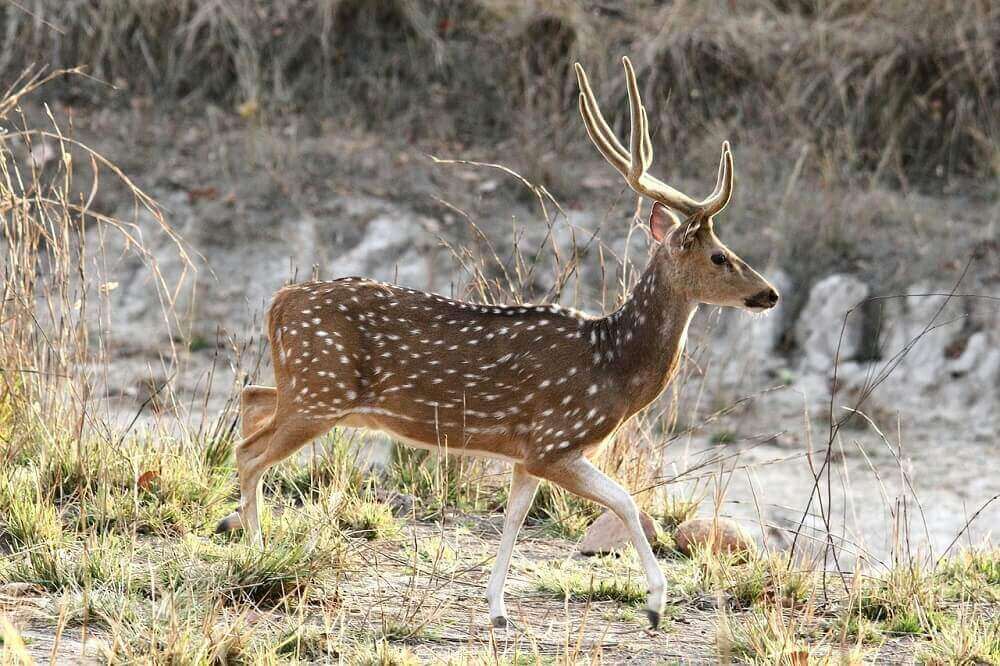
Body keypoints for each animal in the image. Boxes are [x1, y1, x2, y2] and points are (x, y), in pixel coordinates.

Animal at [217, 57, 780, 628]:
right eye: (720, 256)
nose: (769, 294)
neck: (613, 365)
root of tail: (279, 301)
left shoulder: (527, 454)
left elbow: (515, 517)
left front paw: (497, 609)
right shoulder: (556, 439)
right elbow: (623, 500)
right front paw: (655, 604)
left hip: (309, 387)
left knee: (251, 396)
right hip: (320, 393)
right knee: (249, 452)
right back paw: (258, 552)